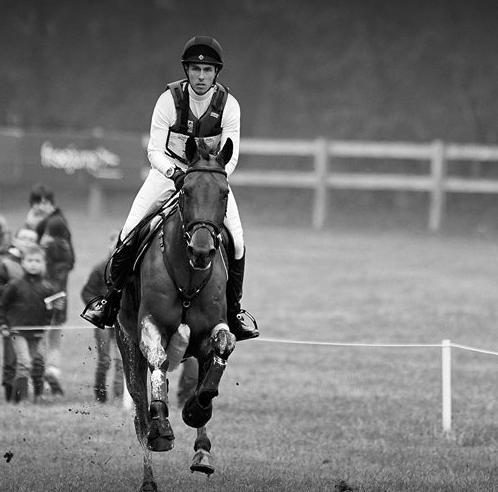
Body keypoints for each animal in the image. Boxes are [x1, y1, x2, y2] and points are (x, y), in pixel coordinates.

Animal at [115, 135, 237, 492]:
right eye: (187, 191)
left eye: (224, 193)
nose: (202, 251)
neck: (189, 276)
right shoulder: (148, 327)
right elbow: (157, 364)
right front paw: (163, 429)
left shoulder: (210, 332)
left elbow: (220, 354)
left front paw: (197, 411)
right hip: (127, 346)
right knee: (141, 415)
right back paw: (150, 473)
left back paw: (202, 453)